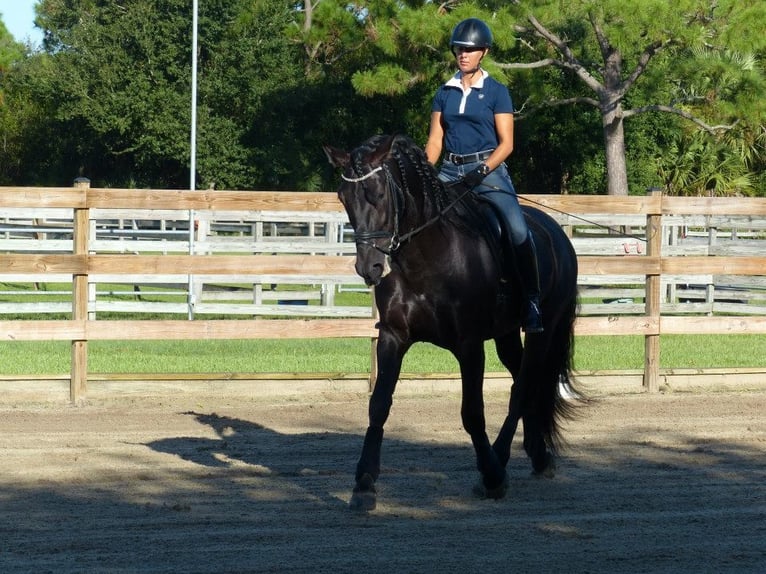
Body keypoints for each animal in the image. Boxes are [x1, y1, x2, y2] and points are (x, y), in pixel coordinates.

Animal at [324, 134, 580, 511]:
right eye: (344, 197)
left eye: (378, 194)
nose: (368, 267)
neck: (425, 256)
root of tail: (557, 234)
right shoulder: (393, 337)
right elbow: (378, 405)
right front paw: (364, 484)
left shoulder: (469, 344)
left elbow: (472, 412)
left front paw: (491, 477)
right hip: (506, 334)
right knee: (526, 379)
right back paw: (538, 455)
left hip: (543, 330)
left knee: (522, 388)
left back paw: (502, 459)